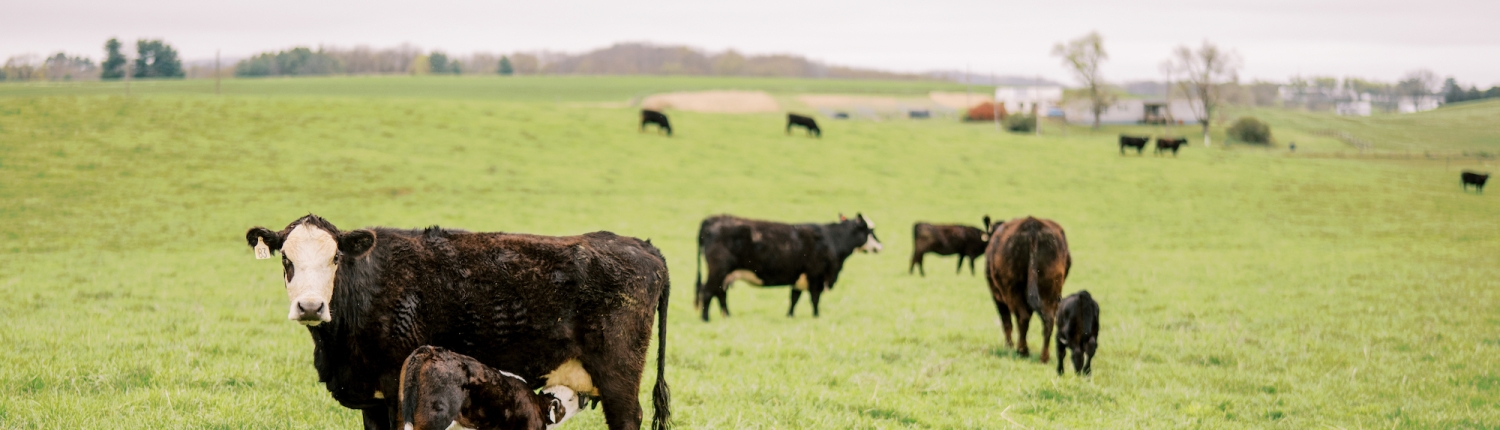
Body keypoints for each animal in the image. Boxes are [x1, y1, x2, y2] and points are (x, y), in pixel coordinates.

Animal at [694, 213, 882, 321]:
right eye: (870, 231)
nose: (881, 246)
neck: (832, 239)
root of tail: (712, 219)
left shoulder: (799, 277)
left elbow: (794, 298)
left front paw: (790, 316)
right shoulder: (816, 276)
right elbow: (814, 299)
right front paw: (816, 316)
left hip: (725, 274)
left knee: (720, 293)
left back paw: (727, 316)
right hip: (719, 270)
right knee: (708, 291)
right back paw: (705, 319)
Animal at [984, 216, 1071, 363]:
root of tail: (1033, 226)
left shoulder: (997, 296)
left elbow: (1006, 322)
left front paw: (1009, 346)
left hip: (1013, 289)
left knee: (1022, 317)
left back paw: (1022, 351)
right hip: (1051, 288)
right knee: (1048, 319)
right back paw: (1044, 357)